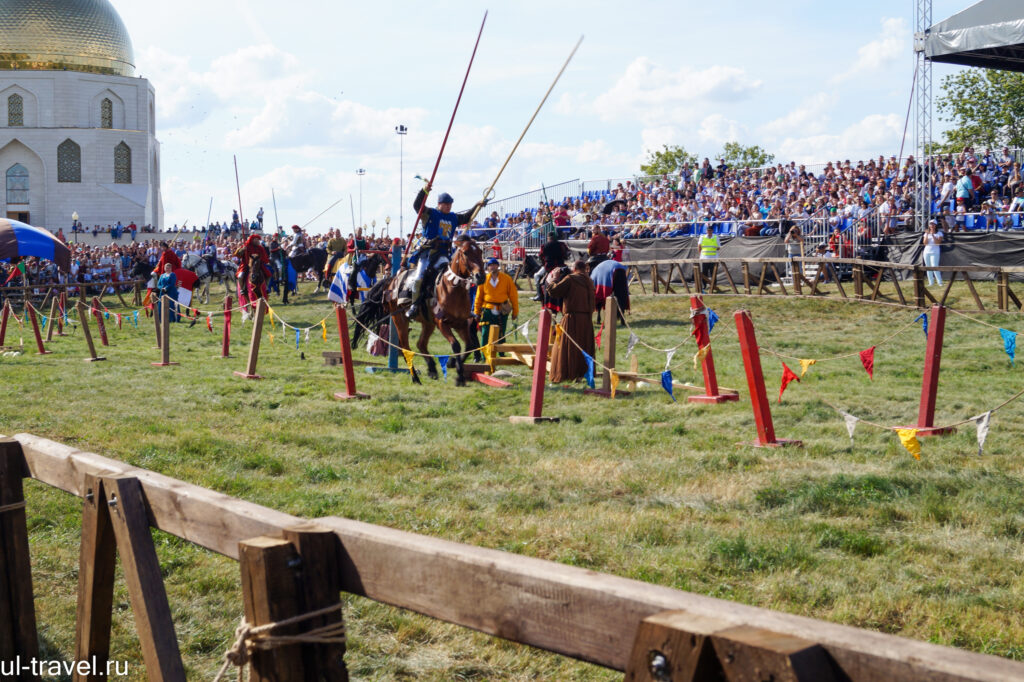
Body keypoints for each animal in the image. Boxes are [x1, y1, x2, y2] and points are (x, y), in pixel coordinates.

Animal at [354, 237, 485, 382]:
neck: (451, 288)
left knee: (420, 344)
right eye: (466, 253)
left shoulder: (460, 324)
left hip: (428, 323)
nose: (480, 276)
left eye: (480, 251)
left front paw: (453, 364)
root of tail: (391, 280)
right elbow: (456, 344)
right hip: (400, 319)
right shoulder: (442, 323)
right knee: (405, 347)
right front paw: (459, 374)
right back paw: (415, 376)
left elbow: (469, 345)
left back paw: (432, 369)